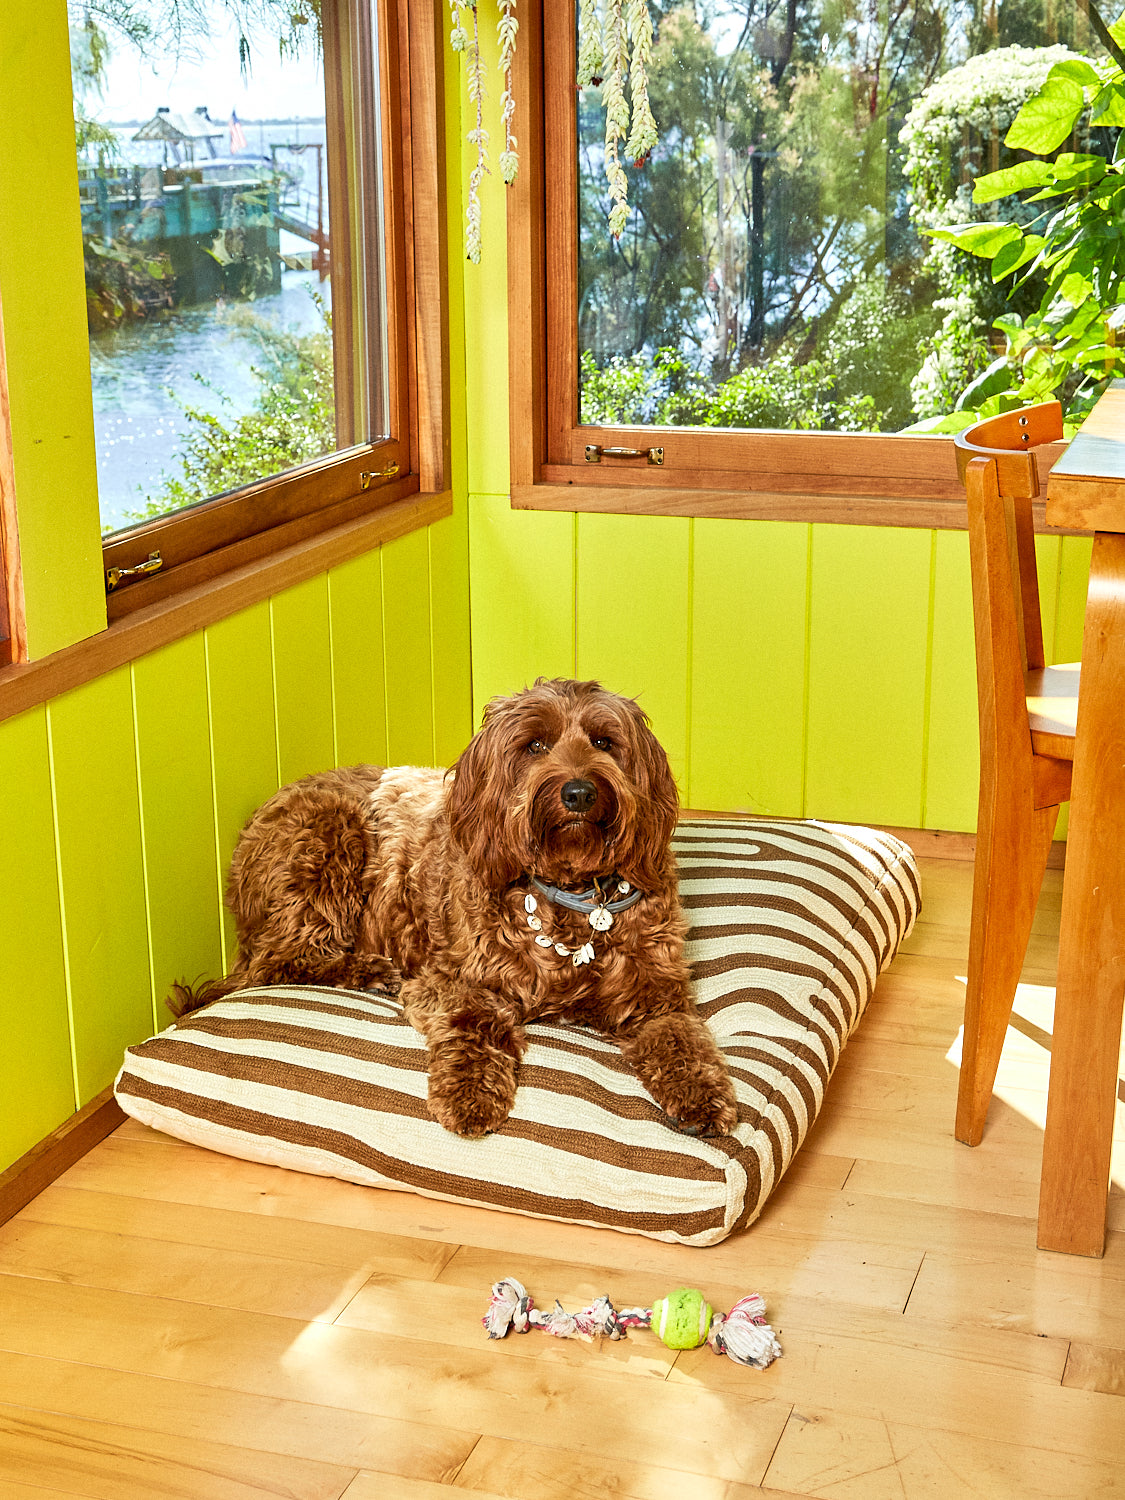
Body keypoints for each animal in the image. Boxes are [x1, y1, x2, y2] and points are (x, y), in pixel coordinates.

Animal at [171, 681, 741, 1134]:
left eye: (605, 742)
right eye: (534, 745)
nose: (579, 792)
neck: (573, 898)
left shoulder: (656, 995)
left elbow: (684, 1041)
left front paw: (704, 1097)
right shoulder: (449, 979)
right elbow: (475, 1022)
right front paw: (469, 1097)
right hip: (326, 839)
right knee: (282, 961)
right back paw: (370, 971)